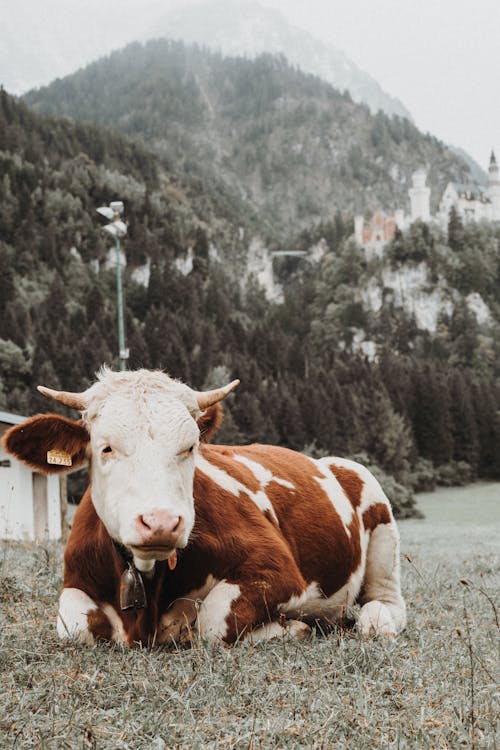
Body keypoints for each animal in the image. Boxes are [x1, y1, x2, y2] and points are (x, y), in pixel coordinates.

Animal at [0, 368, 406, 648]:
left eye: (190, 446)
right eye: (106, 447)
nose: (161, 522)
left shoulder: (279, 569)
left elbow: (213, 620)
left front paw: (290, 627)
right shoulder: (75, 581)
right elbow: (73, 626)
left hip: (379, 521)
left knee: (386, 602)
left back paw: (373, 621)